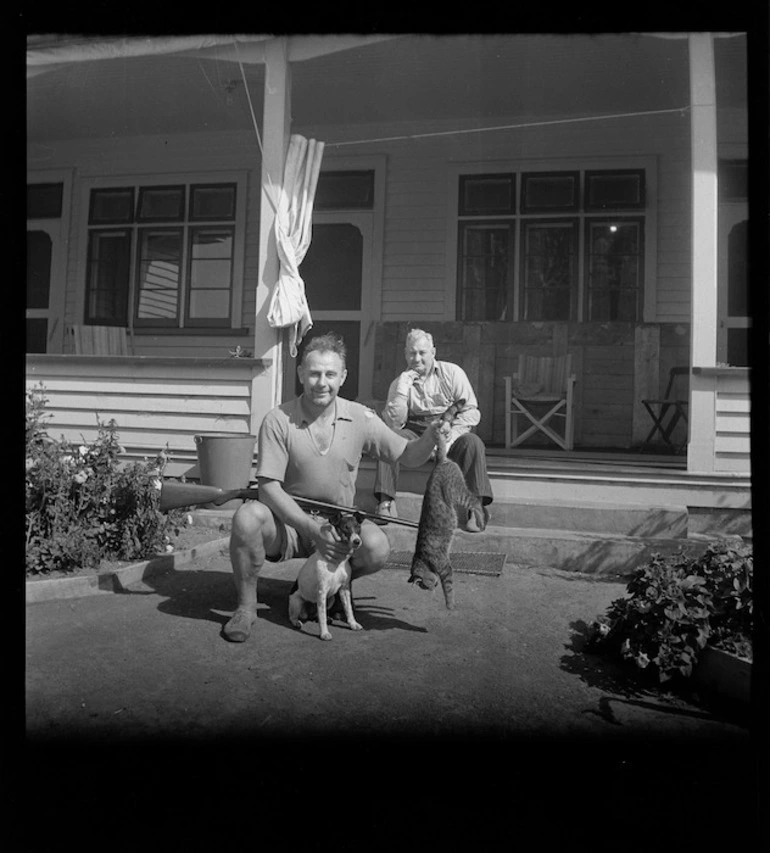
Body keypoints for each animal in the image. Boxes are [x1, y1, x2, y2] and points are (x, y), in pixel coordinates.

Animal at [404, 400, 484, 604]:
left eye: (424, 585)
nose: (430, 588)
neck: (423, 559)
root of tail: (439, 462)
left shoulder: (445, 566)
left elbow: (449, 589)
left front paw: (450, 605)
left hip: (459, 492)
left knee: (476, 502)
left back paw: (481, 518)